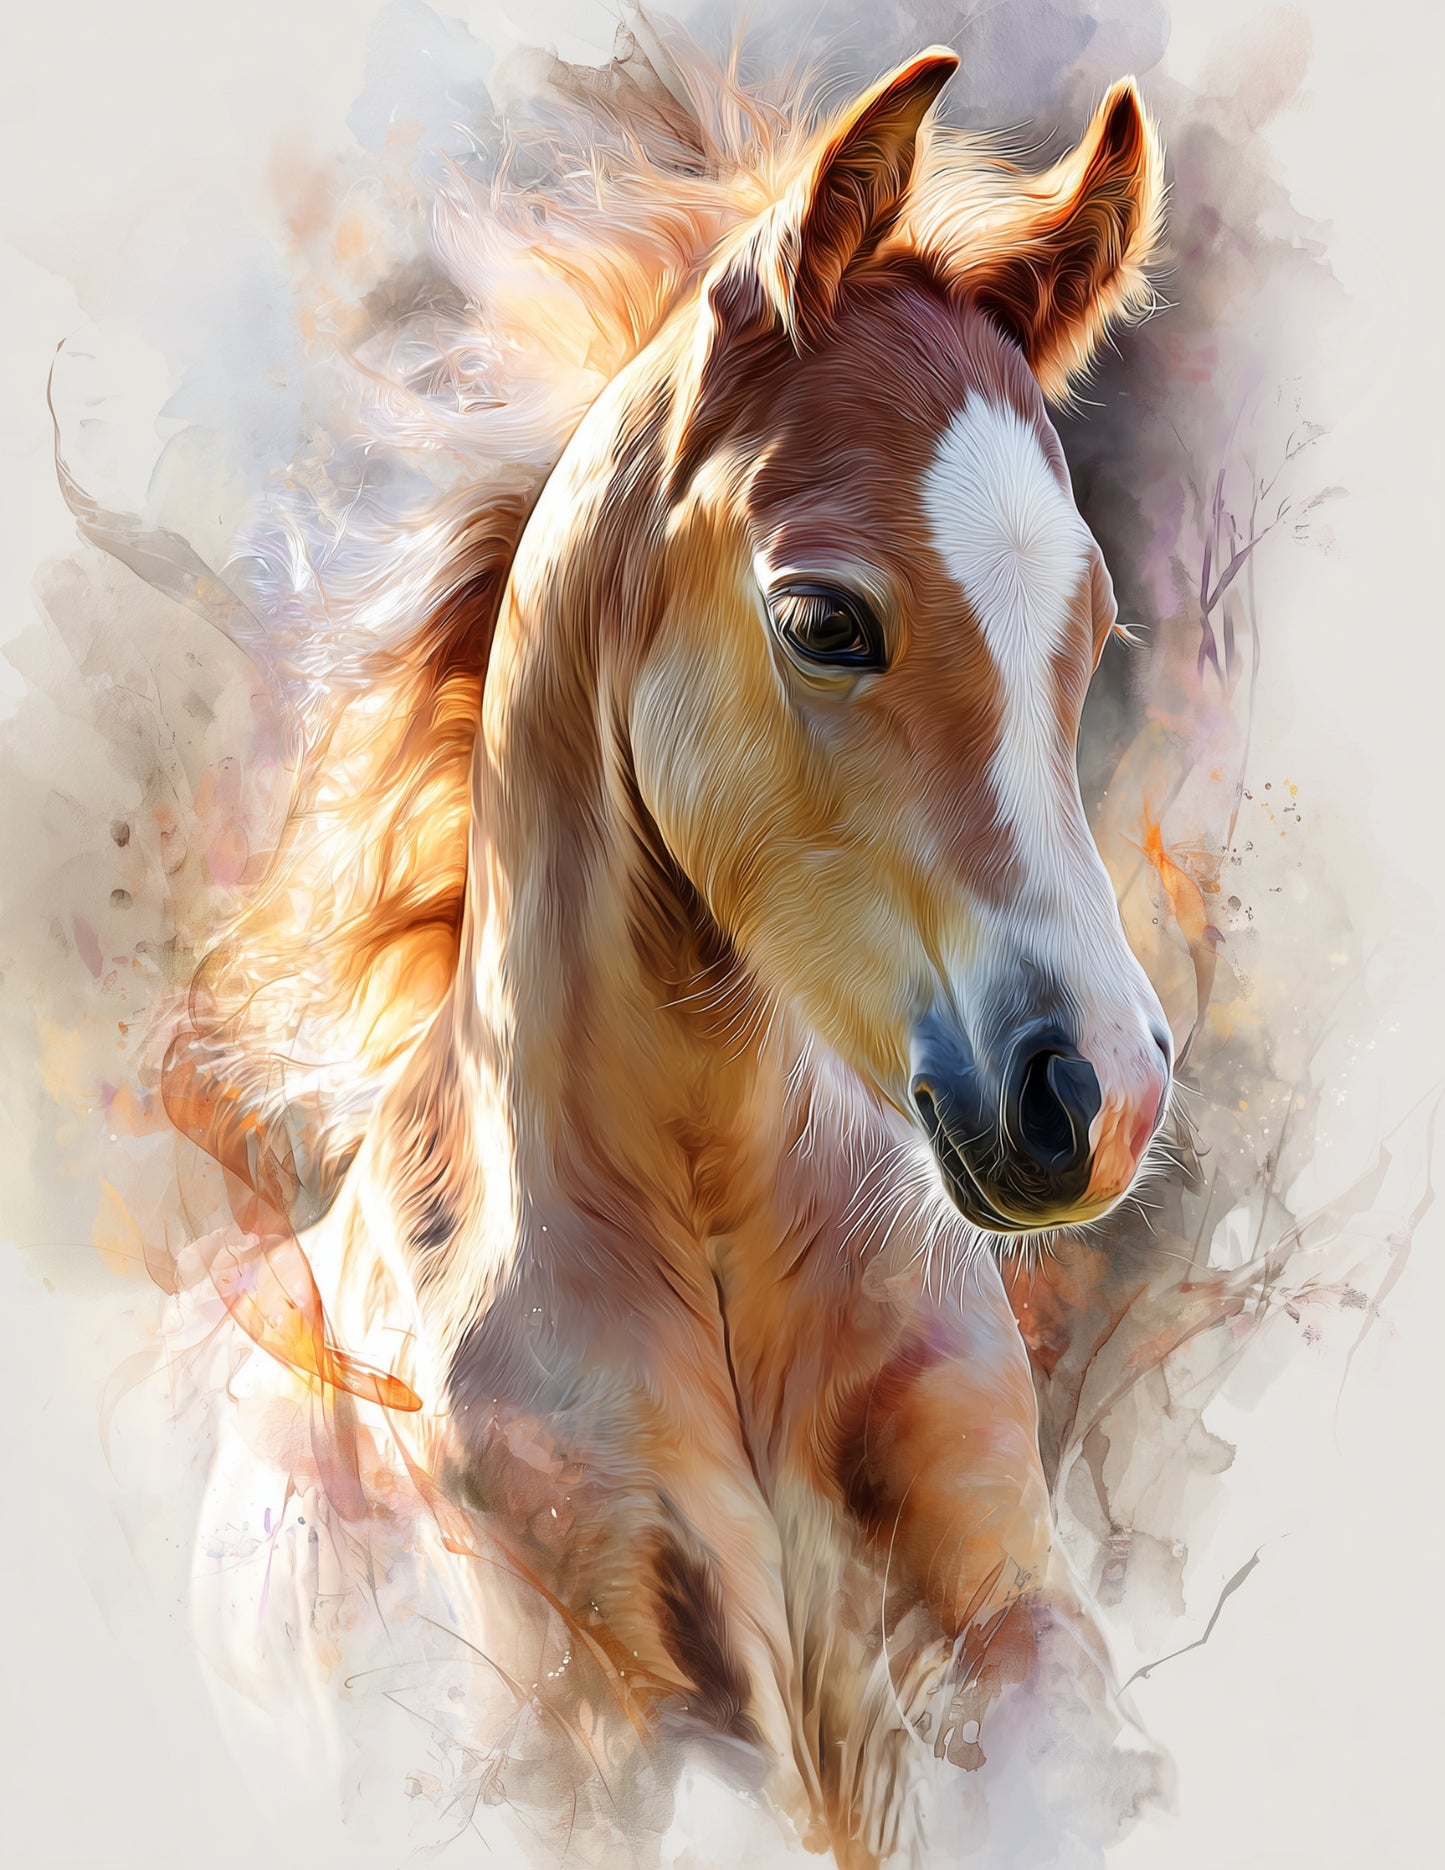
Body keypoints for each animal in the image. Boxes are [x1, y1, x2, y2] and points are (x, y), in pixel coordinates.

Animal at [171, 37, 1171, 1868]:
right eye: (825, 619)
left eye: (1091, 627)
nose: (1103, 1097)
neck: (705, 1247)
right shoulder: (570, 1711)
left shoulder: (1003, 1603)